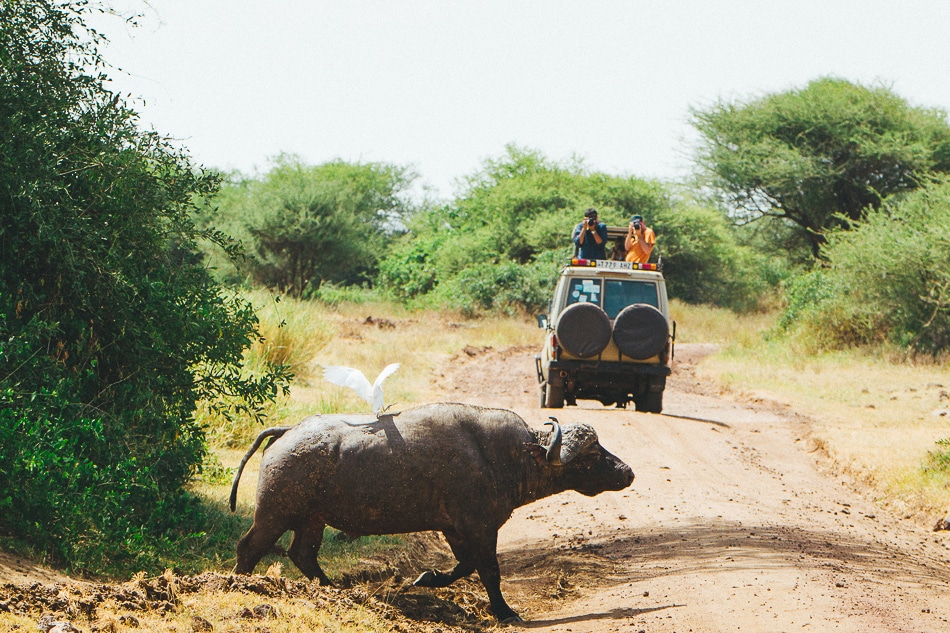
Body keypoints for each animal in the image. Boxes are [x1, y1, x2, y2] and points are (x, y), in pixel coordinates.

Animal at [227, 402, 636, 620]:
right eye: (591, 454)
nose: (627, 471)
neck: (499, 455)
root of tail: (288, 431)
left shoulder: (456, 529)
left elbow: (465, 566)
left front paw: (427, 578)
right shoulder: (480, 527)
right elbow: (489, 571)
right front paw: (505, 612)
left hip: (312, 520)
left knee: (303, 554)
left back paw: (335, 591)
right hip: (275, 514)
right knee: (249, 548)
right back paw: (241, 586)